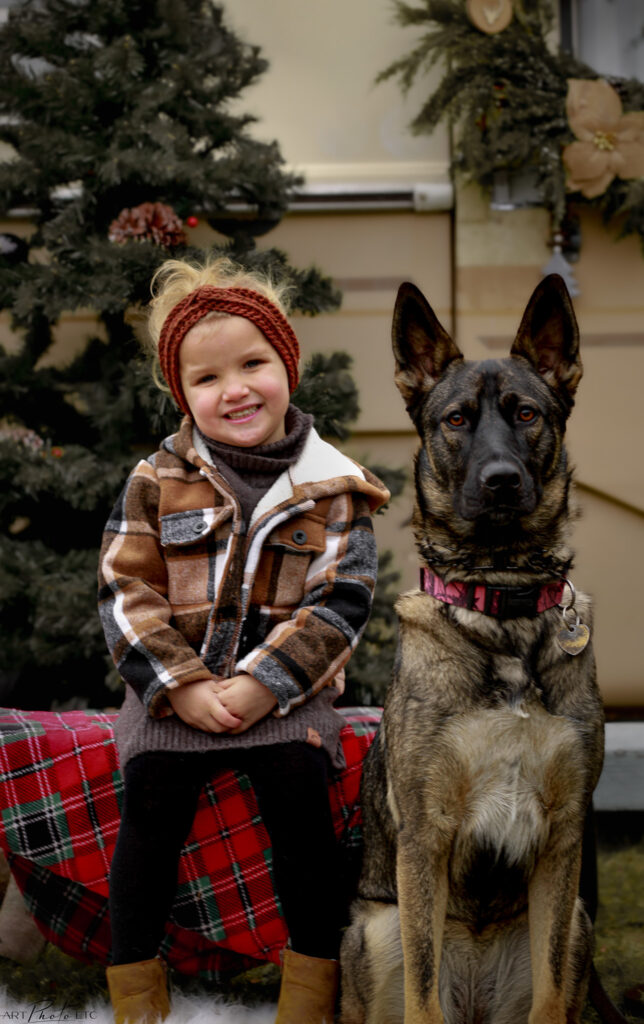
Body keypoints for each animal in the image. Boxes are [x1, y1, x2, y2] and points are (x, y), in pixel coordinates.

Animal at [340, 274, 605, 1024]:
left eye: (526, 414)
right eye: (457, 420)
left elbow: (550, 995)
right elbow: (423, 996)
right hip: (375, 930)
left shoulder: (563, 842)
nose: (501, 481)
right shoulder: (425, 840)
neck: (502, 604)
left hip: (579, 923)